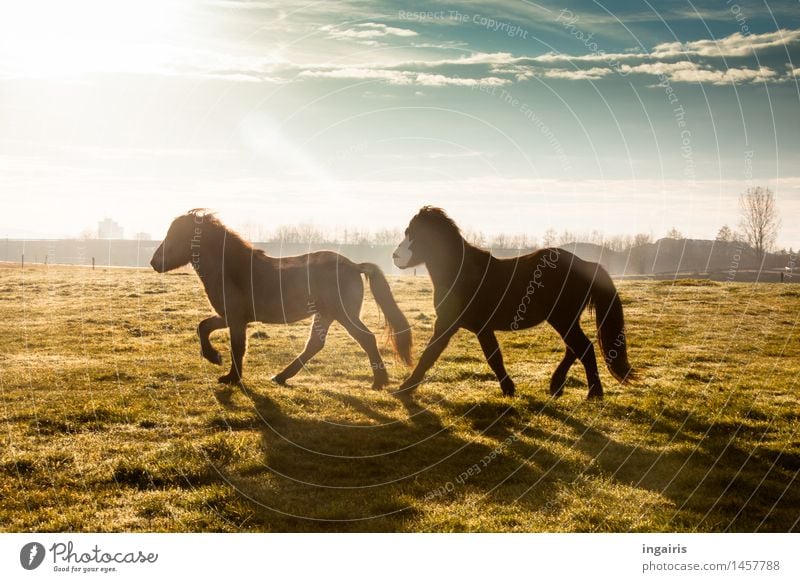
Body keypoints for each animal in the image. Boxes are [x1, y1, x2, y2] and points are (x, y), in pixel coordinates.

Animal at [151, 212, 412, 390]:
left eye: (176, 235)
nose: (154, 262)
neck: (233, 270)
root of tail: (354, 265)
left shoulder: (236, 319)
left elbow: (237, 347)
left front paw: (231, 377)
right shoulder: (229, 317)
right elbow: (203, 327)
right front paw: (215, 358)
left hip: (343, 314)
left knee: (366, 339)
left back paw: (379, 382)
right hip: (326, 314)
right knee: (315, 345)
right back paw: (281, 376)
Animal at [392, 209, 632, 402]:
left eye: (415, 234)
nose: (395, 257)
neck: (461, 274)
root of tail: (587, 265)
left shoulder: (455, 324)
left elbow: (433, 355)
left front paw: (404, 388)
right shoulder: (470, 327)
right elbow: (488, 356)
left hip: (562, 319)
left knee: (584, 348)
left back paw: (593, 394)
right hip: (565, 320)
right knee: (574, 349)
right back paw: (557, 386)